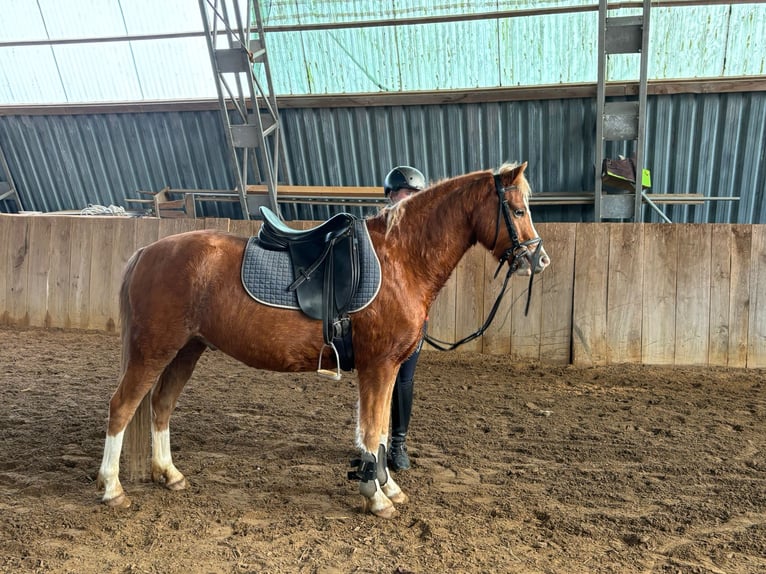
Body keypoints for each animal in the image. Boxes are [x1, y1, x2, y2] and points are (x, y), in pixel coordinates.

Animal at [96, 161, 550, 519]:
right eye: (517, 209)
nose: (539, 259)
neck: (400, 260)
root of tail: (147, 252)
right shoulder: (378, 367)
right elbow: (372, 431)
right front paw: (376, 497)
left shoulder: (388, 370)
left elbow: (379, 433)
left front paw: (388, 488)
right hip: (153, 349)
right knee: (122, 406)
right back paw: (112, 488)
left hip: (186, 350)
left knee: (160, 405)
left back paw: (169, 474)